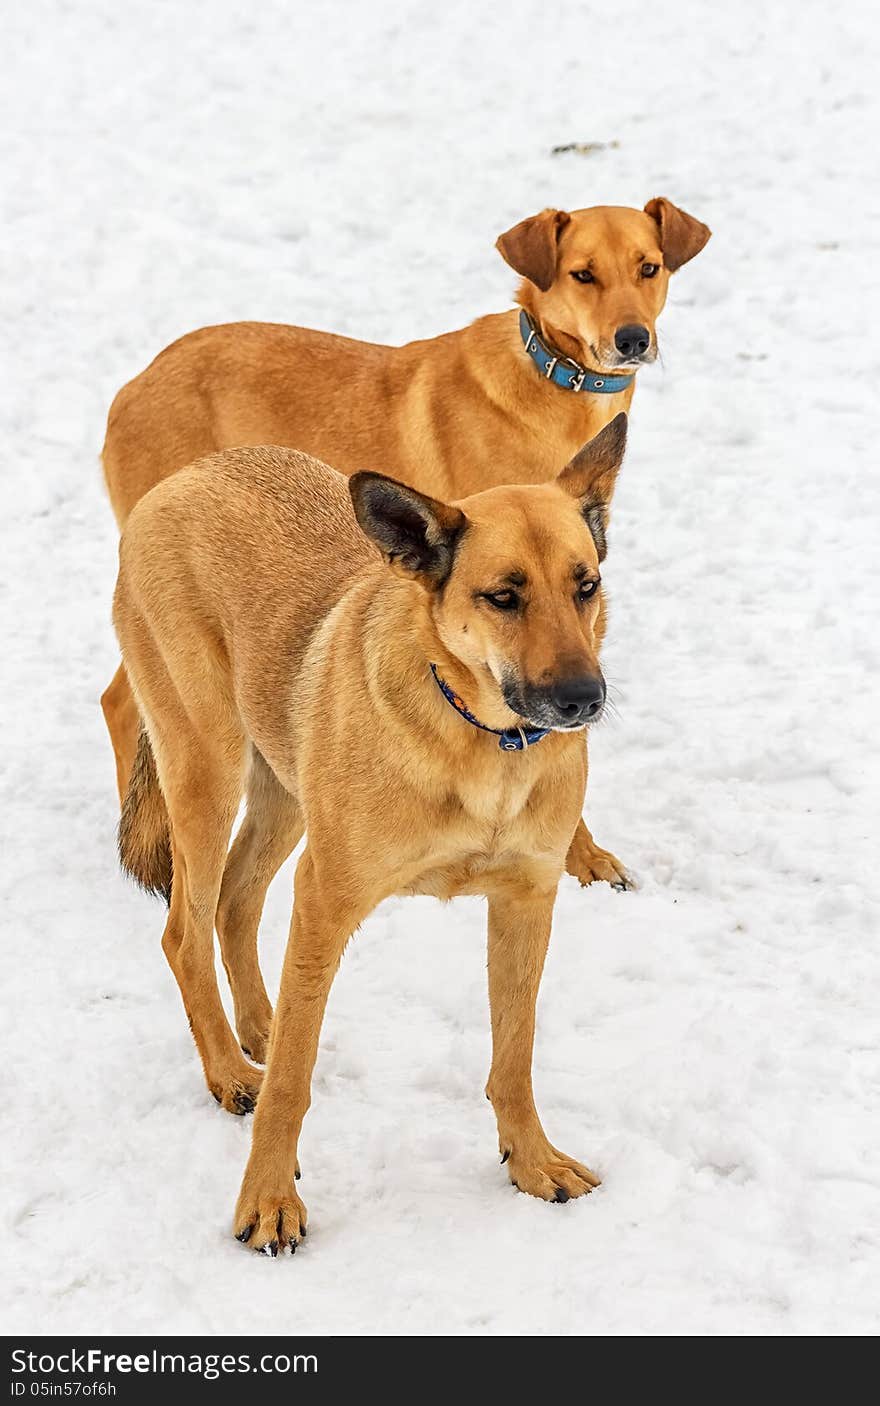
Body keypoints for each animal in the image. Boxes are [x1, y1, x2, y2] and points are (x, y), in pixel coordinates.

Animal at [113, 413, 626, 1254]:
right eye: (503, 597)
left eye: (585, 586)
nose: (585, 700)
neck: (479, 737)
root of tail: (188, 475)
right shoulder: (328, 896)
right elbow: (292, 1086)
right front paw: (267, 1202)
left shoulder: (526, 902)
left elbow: (514, 1054)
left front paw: (531, 1163)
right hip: (208, 772)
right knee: (184, 931)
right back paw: (229, 1071)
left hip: (284, 787)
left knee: (237, 902)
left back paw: (261, 1025)